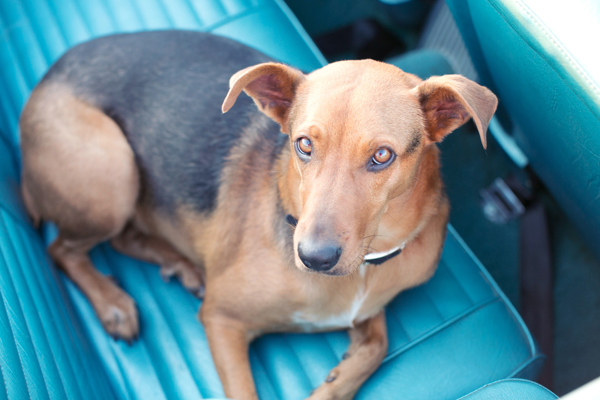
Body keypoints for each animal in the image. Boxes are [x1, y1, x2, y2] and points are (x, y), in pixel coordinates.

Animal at [19, 29, 496, 398]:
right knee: (62, 249)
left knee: (120, 238)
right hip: (113, 170)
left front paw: (335, 381)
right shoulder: (221, 319)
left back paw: (179, 265)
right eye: (303, 144)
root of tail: (47, 76)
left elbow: (375, 346)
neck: (368, 261)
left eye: (382, 156)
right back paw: (114, 303)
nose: (314, 258)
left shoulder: (368, 307)